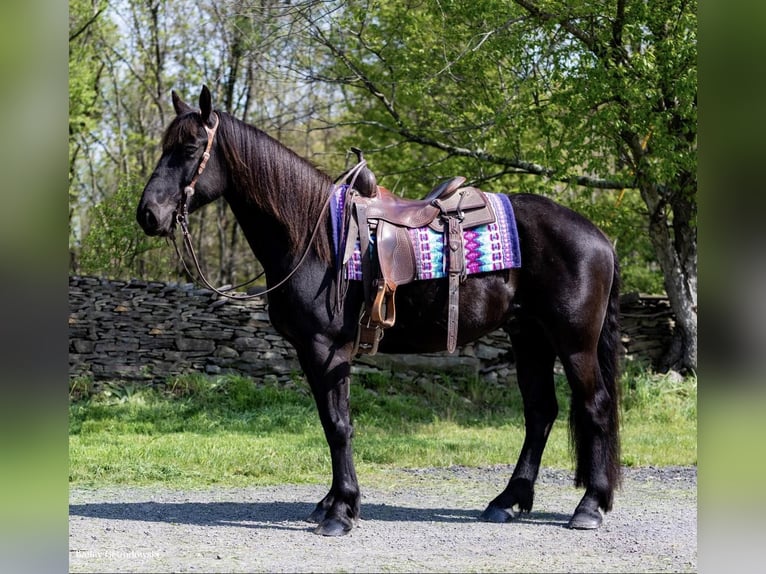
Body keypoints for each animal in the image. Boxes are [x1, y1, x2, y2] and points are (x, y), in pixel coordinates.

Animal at [138, 88, 624, 536]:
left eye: (190, 149)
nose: (148, 214)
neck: (314, 237)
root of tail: (598, 236)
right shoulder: (309, 352)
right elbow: (330, 422)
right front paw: (332, 502)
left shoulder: (326, 349)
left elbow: (338, 425)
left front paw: (341, 511)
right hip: (530, 337)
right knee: (540, 412)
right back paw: (507, 500)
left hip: (574, 343)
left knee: (595, 407)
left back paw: (590, 506)